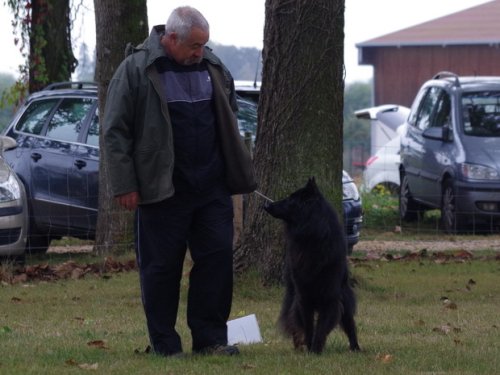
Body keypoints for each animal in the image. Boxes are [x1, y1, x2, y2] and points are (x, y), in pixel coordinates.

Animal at [264, 178, 362, 354]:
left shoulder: (330, 297)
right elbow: (308, 326)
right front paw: (310, 348)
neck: (312, 238)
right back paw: (298, 345)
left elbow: (321, 327)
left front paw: (316, 349)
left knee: (349, 323)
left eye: (291, 199)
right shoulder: (303, 297)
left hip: (343, 296)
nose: (267, 205)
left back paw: (355, 348)